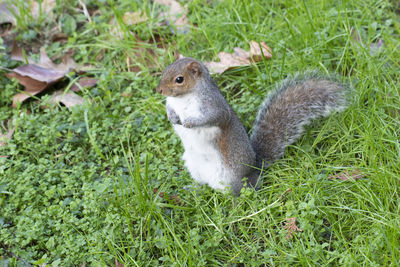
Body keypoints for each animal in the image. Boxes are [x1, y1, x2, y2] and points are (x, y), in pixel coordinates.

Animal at [156, 57, 346, 196]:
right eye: (165, 69)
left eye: (179, 79)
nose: (159, 90)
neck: (183, 98)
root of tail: (255, 169)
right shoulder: (171, 103)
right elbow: (169, 108)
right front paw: (172, 117)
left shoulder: (214, 105)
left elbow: (215, 117)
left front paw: (189, 122)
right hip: (194, 167)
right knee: (203, 186)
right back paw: (193, 189)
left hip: (232, 178)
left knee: (239, 195)